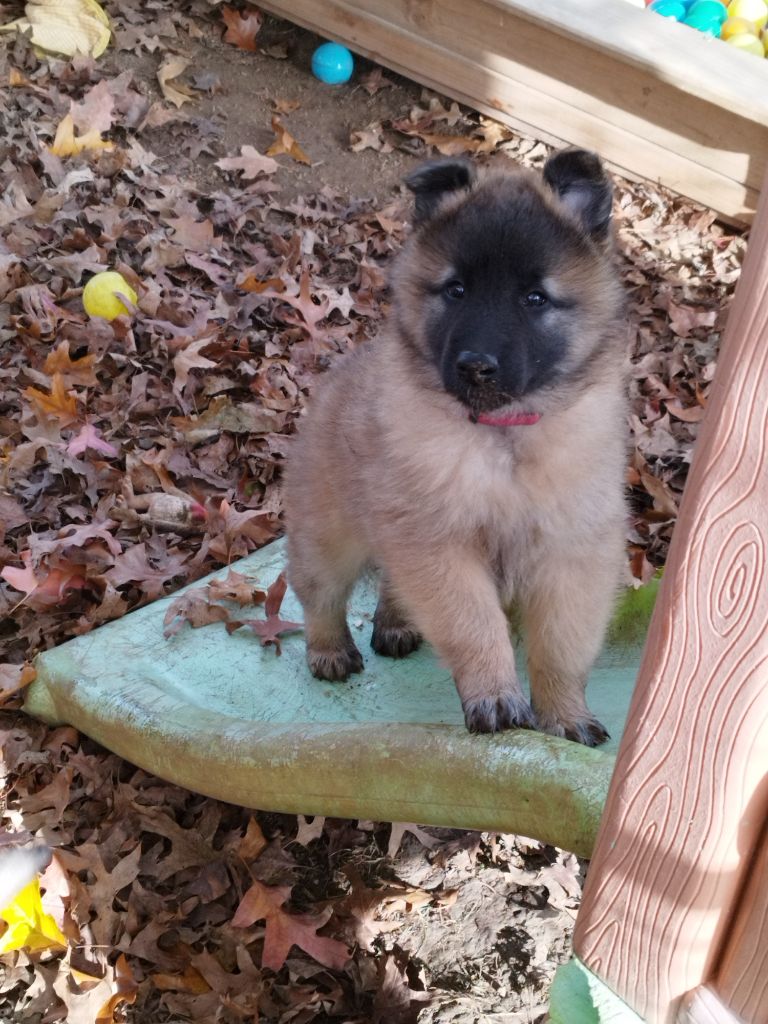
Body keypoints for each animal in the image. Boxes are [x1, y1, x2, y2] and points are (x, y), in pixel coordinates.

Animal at [286, 149, 626, 745]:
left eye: (535, 298)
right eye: (456, 290)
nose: (475, 365)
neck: (503, 433)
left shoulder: (571, 554)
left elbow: (561, 647)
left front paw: (565, 716)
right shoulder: (441, 545)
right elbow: (475, 626)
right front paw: (496, 698)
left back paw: (395, 623)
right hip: (327, 533)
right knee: (319, 593)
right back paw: (329, 651)